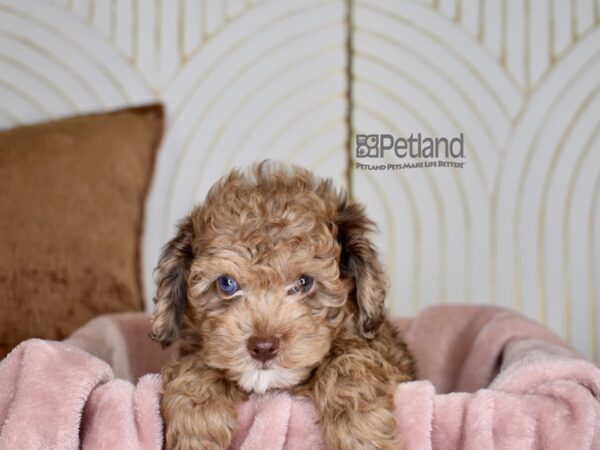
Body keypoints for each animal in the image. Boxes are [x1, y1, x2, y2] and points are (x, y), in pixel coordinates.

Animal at [149, 162, 418, 450]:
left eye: (304, 282)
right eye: (227, 284)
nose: (263, 347)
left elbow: (348, 362)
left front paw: (362, 435)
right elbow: (194, 367)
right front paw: (196, 431)